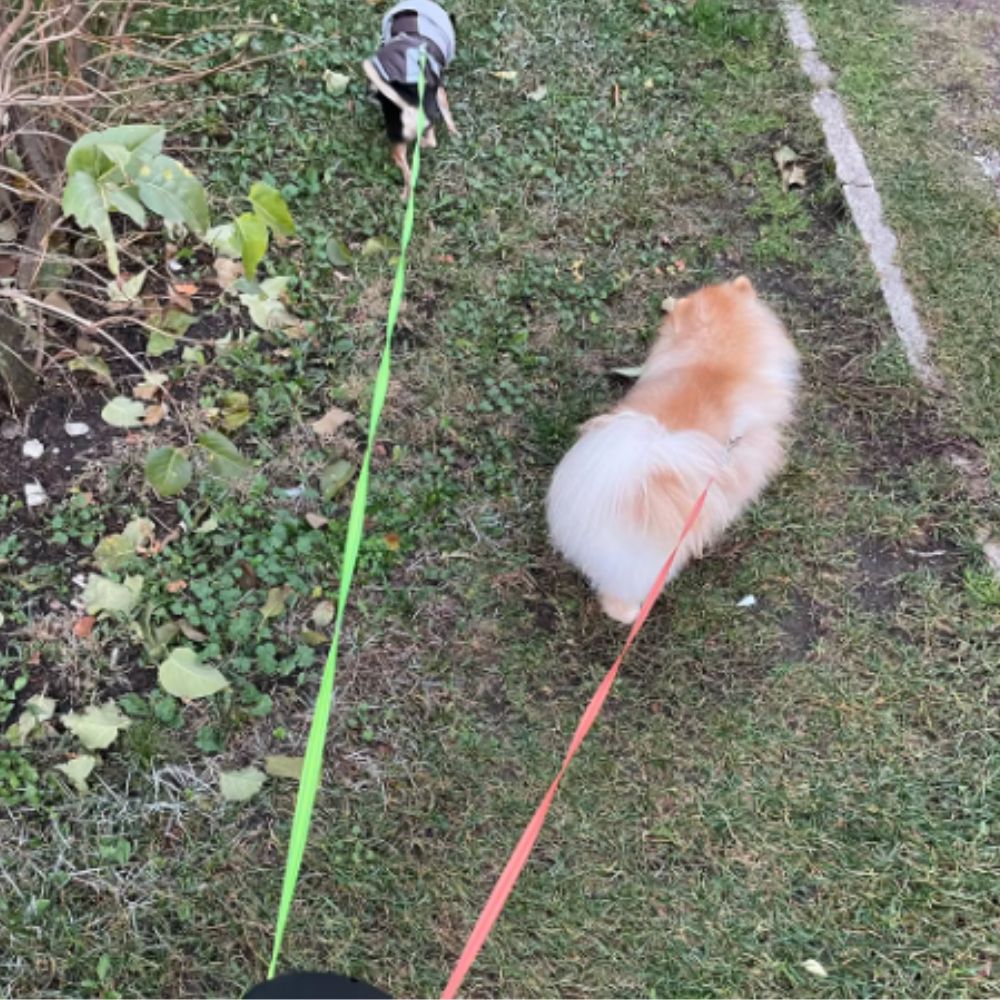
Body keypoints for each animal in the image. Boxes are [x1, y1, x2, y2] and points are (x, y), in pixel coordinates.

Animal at [362, 0, 458, 201]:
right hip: (427, 123)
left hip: (397, 143)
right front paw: (454, 132)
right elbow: (447, 112)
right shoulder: (438, 90)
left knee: (407, 172)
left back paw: (406, 193)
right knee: (431, 141)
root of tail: (409, 106)